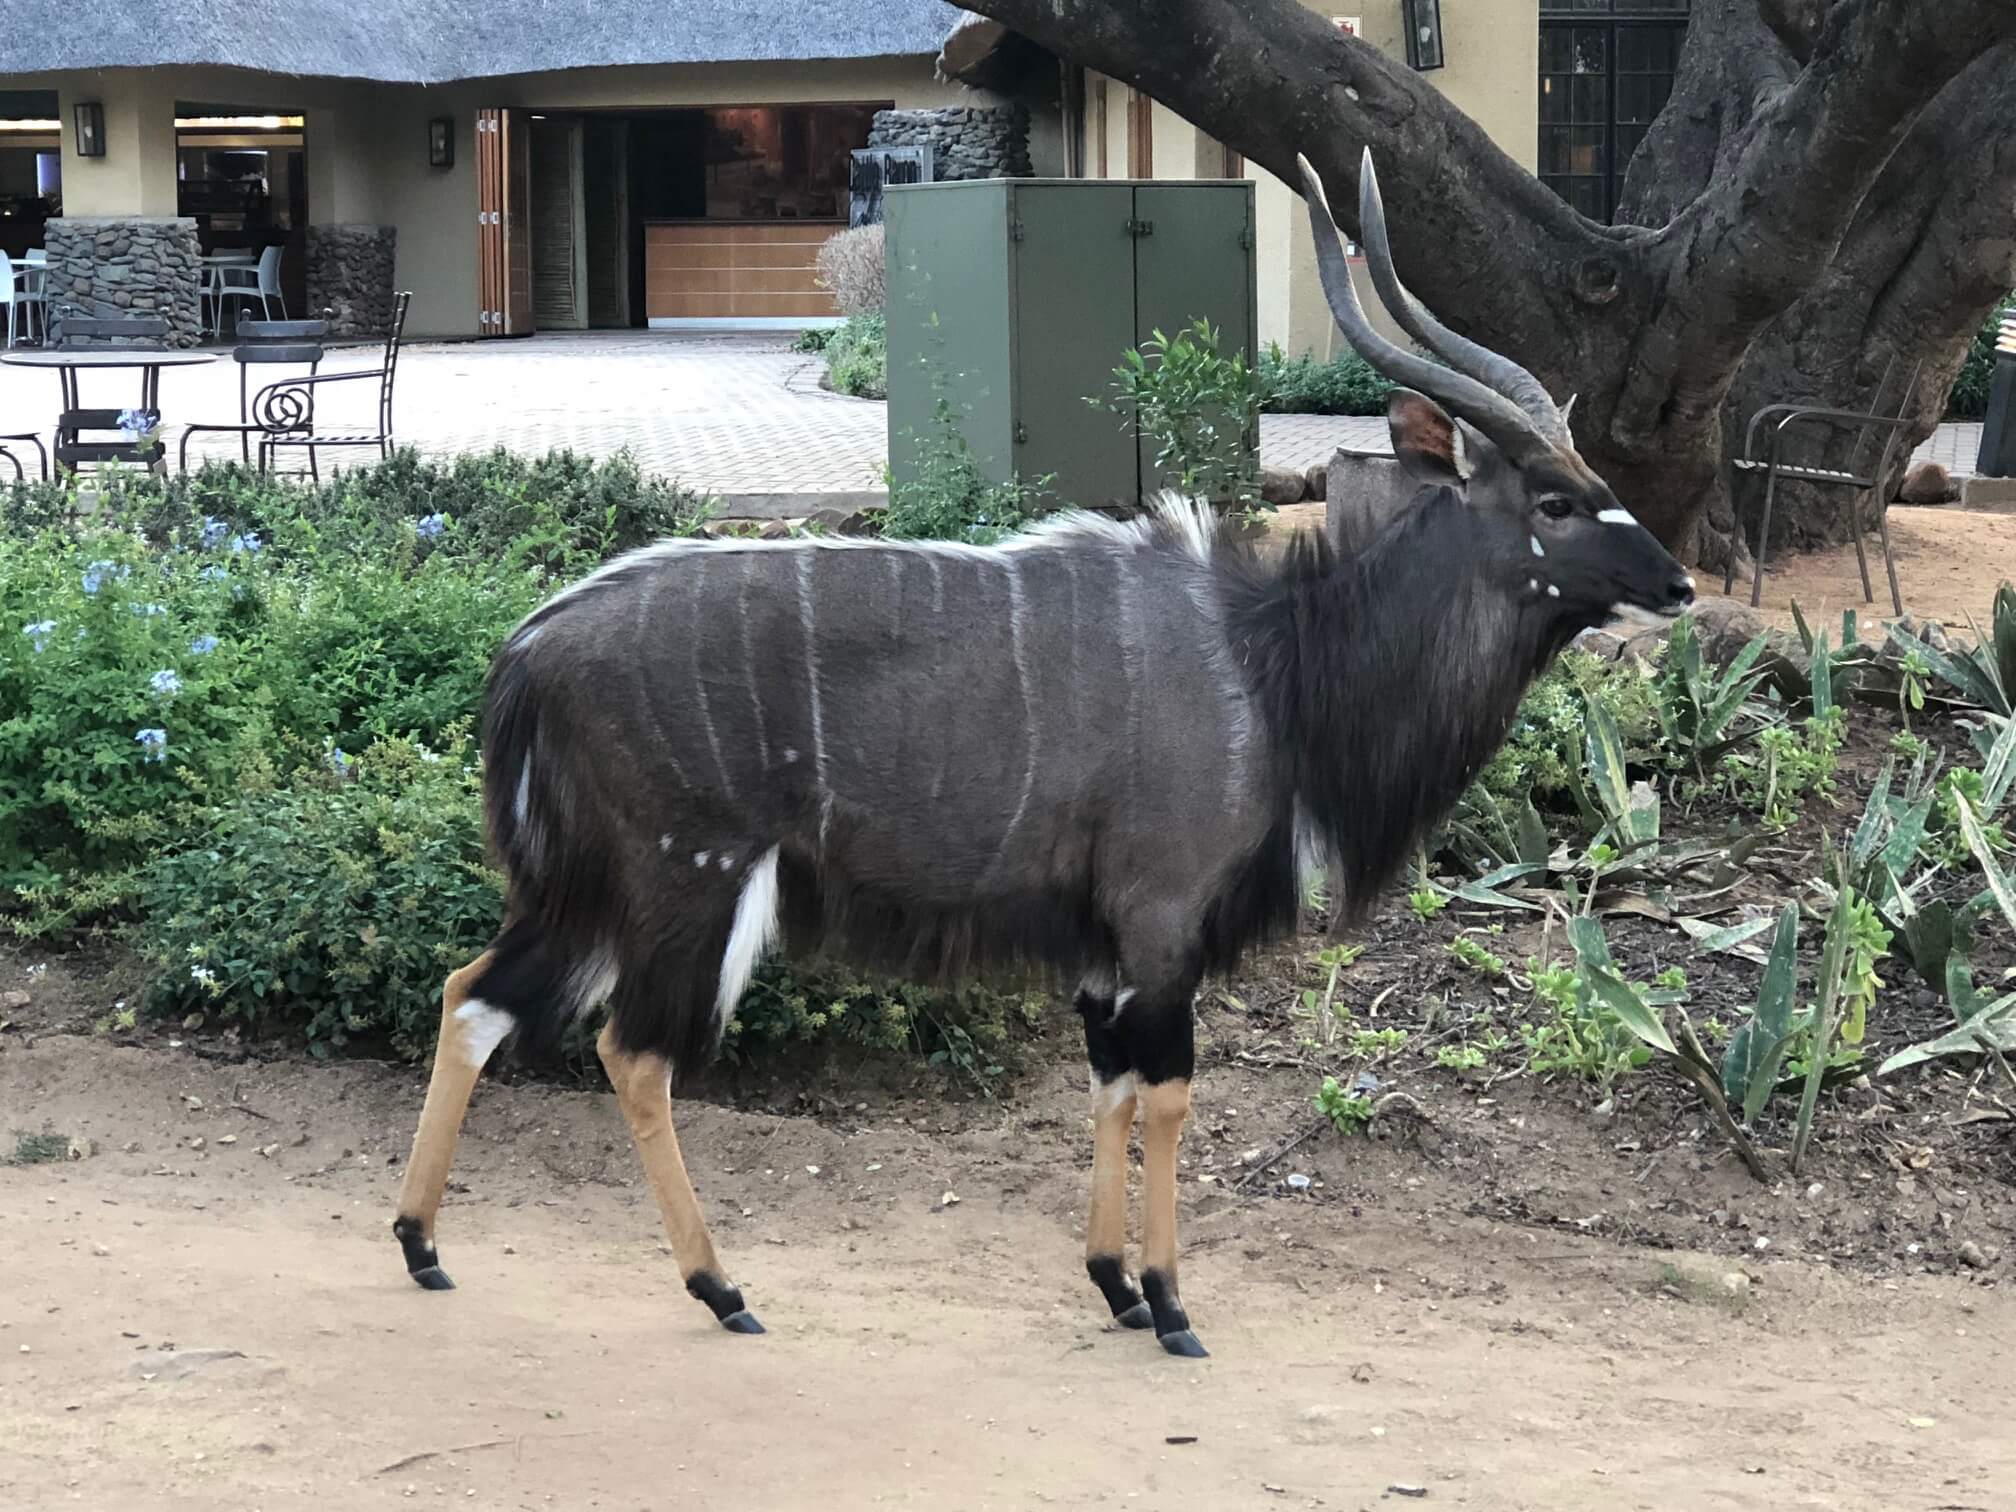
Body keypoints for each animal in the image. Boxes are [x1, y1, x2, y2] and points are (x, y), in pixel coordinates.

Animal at [389, 154, 1685, 1362]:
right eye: (1559, 501)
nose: (1675, 584)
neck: (1272, 662)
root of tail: (528, 650)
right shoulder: (1161, 918)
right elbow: (1168, 1092)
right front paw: (1170, 1305)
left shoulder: (1102, 944)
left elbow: (1109, 1081)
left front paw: (1113, 1286)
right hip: (683, 882)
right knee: (632, 1051)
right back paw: (721, 1289)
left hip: (585, 891)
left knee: (470, 994)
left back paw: (421, 1245)